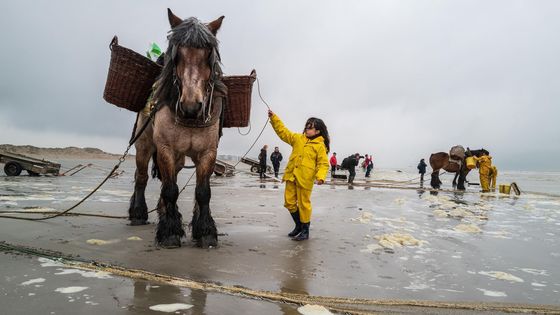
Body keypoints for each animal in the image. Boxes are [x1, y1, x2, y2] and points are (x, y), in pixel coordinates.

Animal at [129, 8, 228, 248]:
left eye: (208, 55)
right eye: (178, 56)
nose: (191, 106)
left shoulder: (208, 152)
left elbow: (202, 192)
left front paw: (205, 232)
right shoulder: (165, 149)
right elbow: (170, 189)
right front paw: (170, 233)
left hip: (180, 158)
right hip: (144, 146)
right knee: (141, 177)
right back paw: (138, 213)